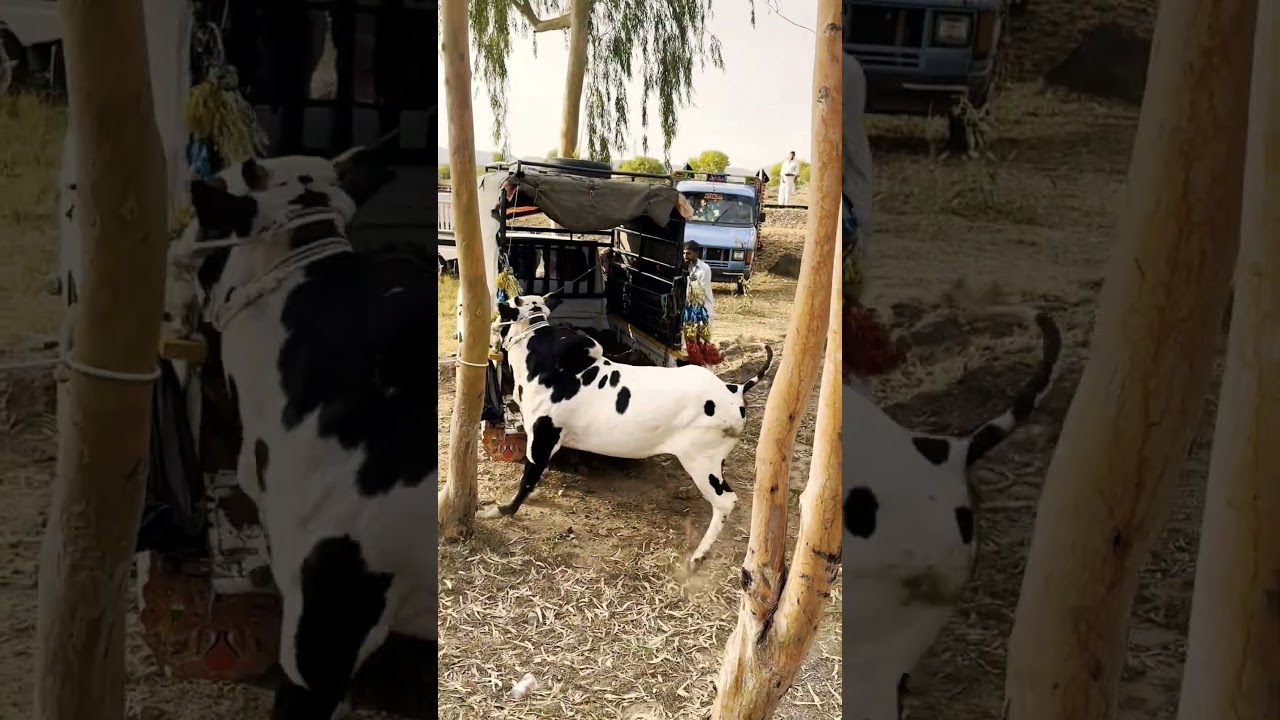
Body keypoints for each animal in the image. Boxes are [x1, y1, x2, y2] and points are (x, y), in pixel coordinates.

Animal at [485, 293, 774, 568]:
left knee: (725, 501)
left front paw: (500, 510)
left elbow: (526, 481)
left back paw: (698, 556)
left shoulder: (542, 437)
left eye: (502, 310)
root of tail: (734, 389)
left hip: (702, 463)